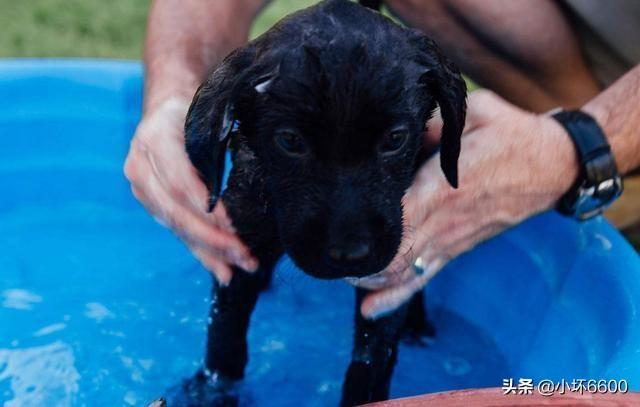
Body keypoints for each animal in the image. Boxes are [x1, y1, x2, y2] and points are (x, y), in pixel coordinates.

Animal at [180, 1, 464, 406]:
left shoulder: (387, 275)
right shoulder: (240, 242)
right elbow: (225, 337)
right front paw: (210, 392)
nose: (350, 254)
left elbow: (371, 362)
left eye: (395, 139)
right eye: (290, 140)